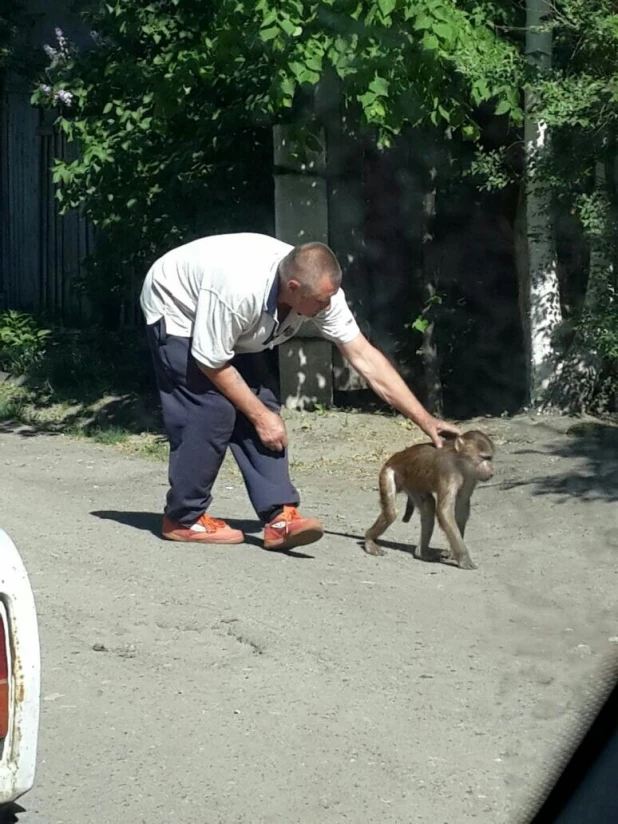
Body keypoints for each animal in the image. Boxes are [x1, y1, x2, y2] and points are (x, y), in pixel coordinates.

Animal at [364, 428, 494, 568]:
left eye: (490, 458)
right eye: (484, 457)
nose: (492, 472)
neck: (459, 461)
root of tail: (396, 456)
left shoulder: (471, 477)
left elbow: (462, 506)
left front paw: (452, 553)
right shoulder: (448, 471)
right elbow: (444, 511)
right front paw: (464, 558)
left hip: (413, 484)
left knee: (428, 507)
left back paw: (421, 553)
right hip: (389, 471)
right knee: (391, 514)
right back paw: (369, 539)